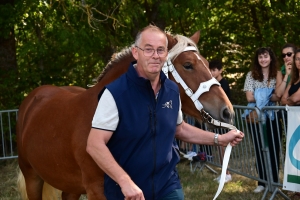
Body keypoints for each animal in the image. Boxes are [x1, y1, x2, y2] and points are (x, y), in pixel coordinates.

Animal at [16, 30, 233, 199]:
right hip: (32, 178)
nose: (227, 111)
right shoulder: (97, 191)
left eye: (206, 63)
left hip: (70, 187)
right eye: (188, 65)